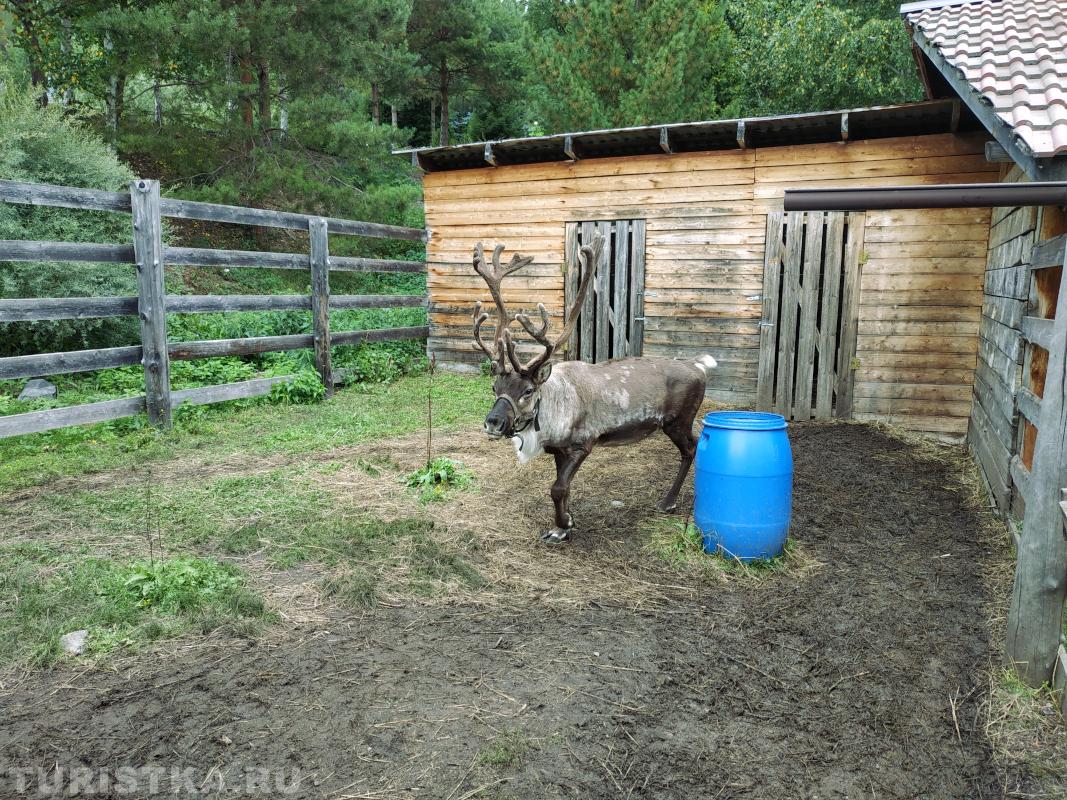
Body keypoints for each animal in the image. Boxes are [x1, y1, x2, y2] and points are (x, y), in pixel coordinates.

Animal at [471, 235, 717, 544]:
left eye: (527, 390)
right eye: (495, 387)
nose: (492, 422)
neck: (552, 410)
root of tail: (697, 365)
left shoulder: (583, 444)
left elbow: (557, 488)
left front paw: (562, 525)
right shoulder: (559, 449)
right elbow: (563, 487)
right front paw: (564, 524)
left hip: (678, 421)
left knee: (691, 448)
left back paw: (668, 501)